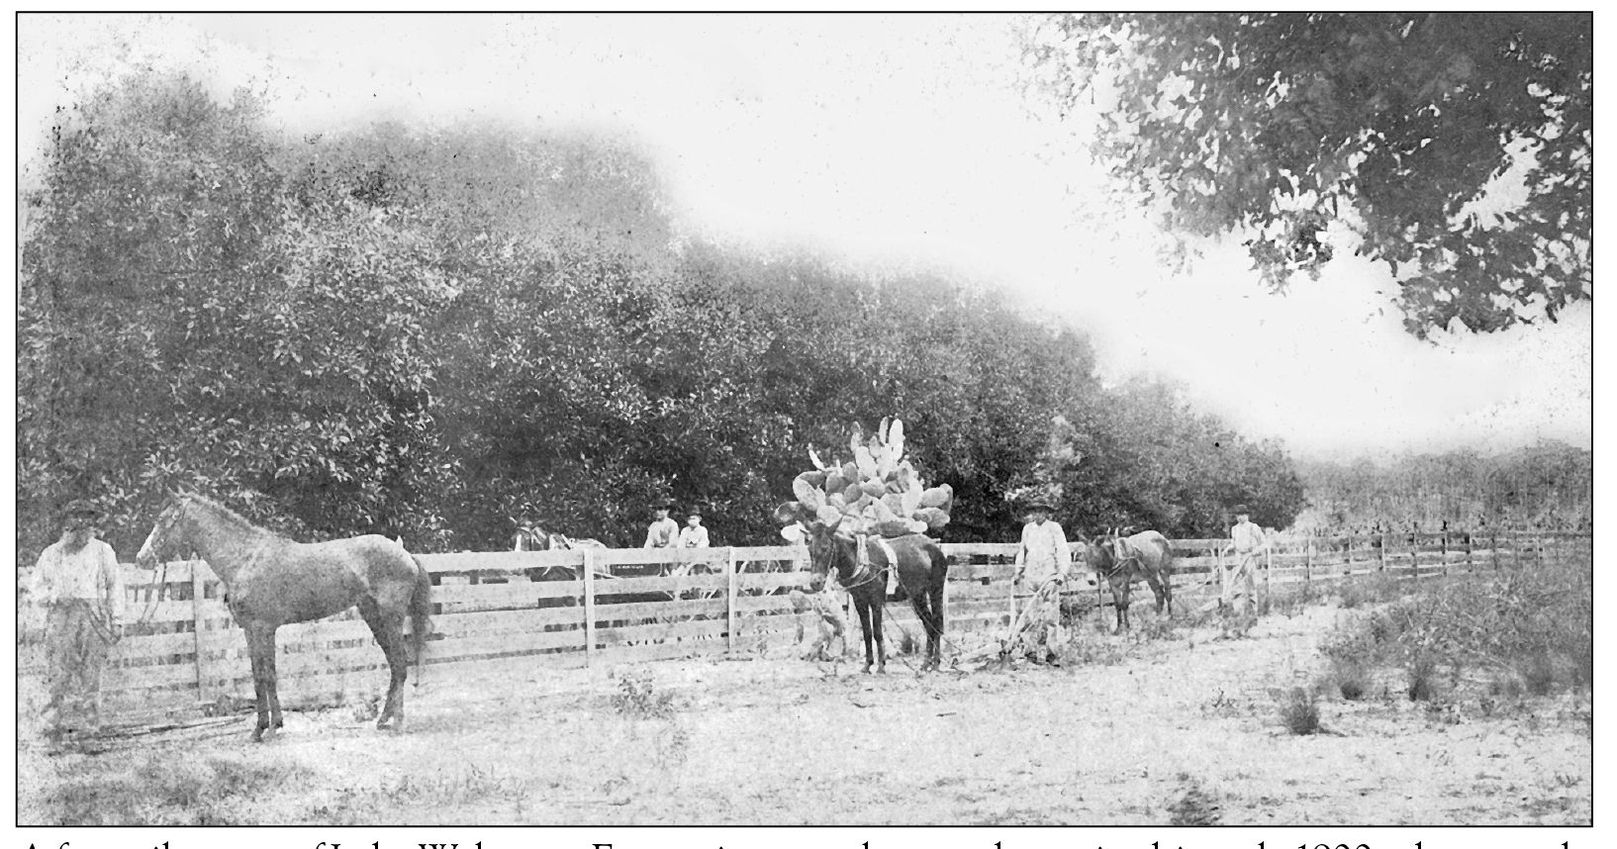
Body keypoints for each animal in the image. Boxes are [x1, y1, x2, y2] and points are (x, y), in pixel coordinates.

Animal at [136, 491, 433, 737]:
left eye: (162, 521)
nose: (142, 558)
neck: (245, 559)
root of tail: (405, 554)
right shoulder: (252, 630)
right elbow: (261, 675)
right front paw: (266, 726)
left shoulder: (262, 627)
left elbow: (266, 676)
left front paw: (266, 729)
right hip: (373, 617)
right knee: (394, 666)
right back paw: (383, 720)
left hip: (391, 618)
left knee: (400, 664)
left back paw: (398, 724)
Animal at [805, 520, 944, 672]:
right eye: (809, 549)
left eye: (825, 548)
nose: (815, 583)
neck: (862, 561)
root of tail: (934, 545)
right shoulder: (860, 601)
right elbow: (867, 632)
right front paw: (867, 664)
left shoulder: (876, 600)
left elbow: (877, 632)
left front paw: (881, 666)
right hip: (918, 595)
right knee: (929, 624)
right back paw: (925, 663)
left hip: (936, 590)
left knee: (937, 623)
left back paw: (936, 663)